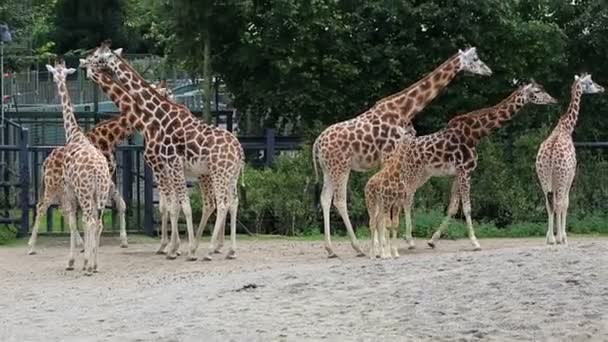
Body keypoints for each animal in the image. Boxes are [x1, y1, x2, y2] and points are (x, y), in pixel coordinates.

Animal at [45, 60, 112, 276]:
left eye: (55, 74)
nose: (56, 80)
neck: (74, 134)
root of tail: (98, 171)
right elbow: (81, 222)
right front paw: (85, 259)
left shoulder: (69, 190)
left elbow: (74, 222)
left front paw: (73, 261)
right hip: (101, 193)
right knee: (98, 222)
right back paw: (95, 265)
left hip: (85, 192)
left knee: (91, 221)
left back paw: (88, 266)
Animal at [83, 42, 245, 262]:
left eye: (98, 56)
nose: (84, 63)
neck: (155, 119)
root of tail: (239, 150)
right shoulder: (167, 168)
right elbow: (171, 206)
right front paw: (174, 247)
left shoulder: (168, 164)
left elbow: (178, 206)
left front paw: (177, 249)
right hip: (228, 175)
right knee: (231, 202)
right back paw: (229, 250)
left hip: (217, 174)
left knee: (220, 203)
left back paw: (210, 250)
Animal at [314, 47, 494, 256]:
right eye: (475, 58)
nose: (488, 71)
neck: (404, 109)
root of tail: (317, 144)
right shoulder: (388, 155)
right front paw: (387, 245)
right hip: (341, 167)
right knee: (340, 200)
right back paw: (357, 247)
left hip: (328, 169)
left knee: (325, 198)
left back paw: (330, 249)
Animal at [380, 80, 556, 252]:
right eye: (537, 91)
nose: (553, 100)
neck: (476, 134)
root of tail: (397, 152)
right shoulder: (464, 171)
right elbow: (467, 208)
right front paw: (475, 242)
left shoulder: (459, 173)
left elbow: (453, 207)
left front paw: (432, 240)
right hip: (411, 173)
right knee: (405, 199)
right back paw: (408, 240)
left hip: (423, 175)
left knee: (406, 198)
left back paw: (405, 238)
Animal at [536, 74, 604, 246]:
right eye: (590, 82)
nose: (602, 88)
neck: (567, 127)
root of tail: (551, 154)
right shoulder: (571, 174)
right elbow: (566, 203)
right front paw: (563, 236)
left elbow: (554, 204)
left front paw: (551, 236)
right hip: (562, 176)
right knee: (559, 202)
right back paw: (559, 238)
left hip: (543, 177)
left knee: (548, 203)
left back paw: (551, 239)